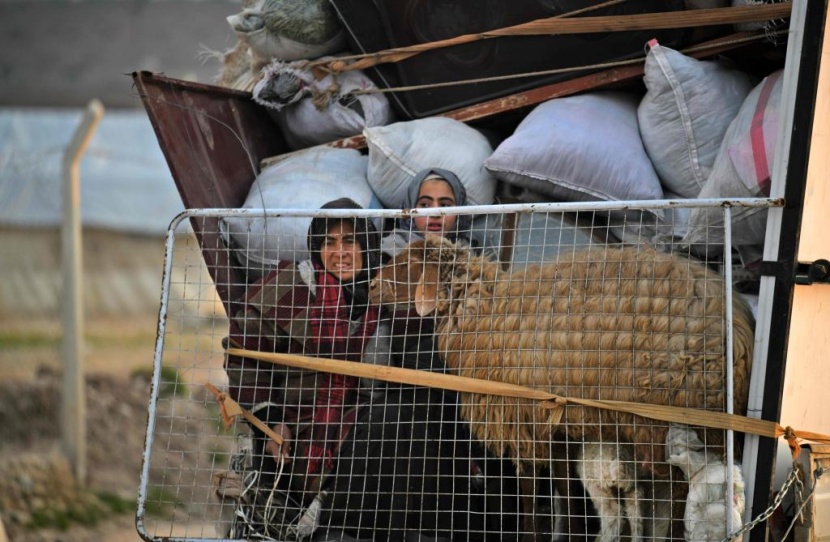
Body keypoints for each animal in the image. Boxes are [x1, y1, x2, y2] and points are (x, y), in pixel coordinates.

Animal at [368, 237, 756, 540]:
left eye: (407, 264)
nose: (369, 287)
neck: (484, 311)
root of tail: (741, 330)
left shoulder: (521, 419)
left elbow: (530, 490)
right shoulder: (555, 424)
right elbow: (563, 489)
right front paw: (568, 531)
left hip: (670, 416)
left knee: (679, 488)